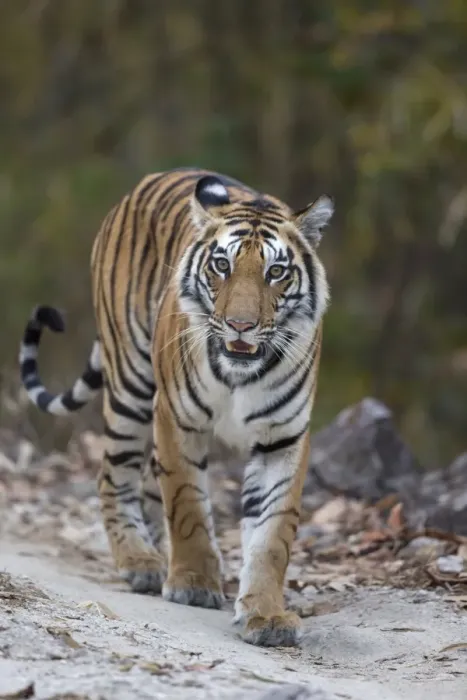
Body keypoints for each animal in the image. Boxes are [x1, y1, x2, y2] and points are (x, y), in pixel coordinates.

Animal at [19, 167, 334, 647]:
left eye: (276, 272)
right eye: (222, 265)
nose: (240, 325)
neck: (240, 374)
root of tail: (149, 179)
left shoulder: (283, 437)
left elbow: (272, 534)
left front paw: (267, 615)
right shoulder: (176, 417)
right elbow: (187, 505)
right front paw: (193, 583)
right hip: (131, 382)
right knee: (113, 474)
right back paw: (140, 562)